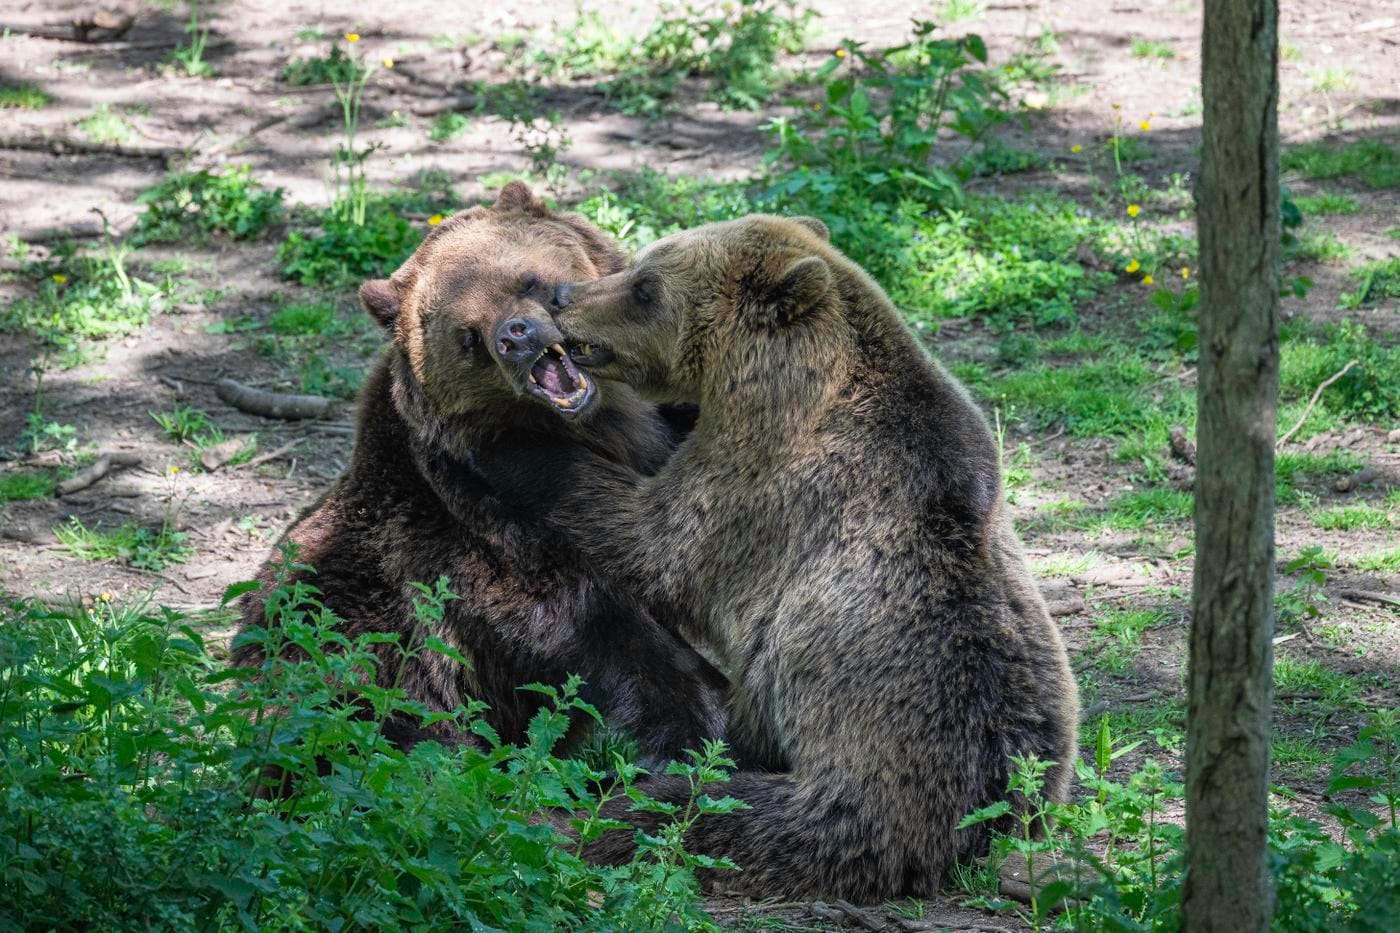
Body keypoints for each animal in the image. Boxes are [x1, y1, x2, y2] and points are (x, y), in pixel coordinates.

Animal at [231, 181, 729, 767]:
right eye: (467, 337)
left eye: (528, 279)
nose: (516, 336)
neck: (602, 426)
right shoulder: (485, 525)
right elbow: (601, 628)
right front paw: (704, 727)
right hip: (342, 648)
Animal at [477, 214, 1080, 901]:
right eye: (637, 265)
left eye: (646, 287)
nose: (560, 297)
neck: (770, 384)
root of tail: (971, 820)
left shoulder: (766, 489)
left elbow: (655, 541)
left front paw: (510, 443)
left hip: (813, 717)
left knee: (710, 799)